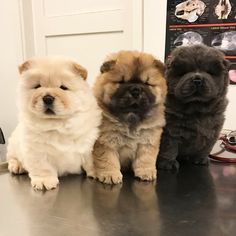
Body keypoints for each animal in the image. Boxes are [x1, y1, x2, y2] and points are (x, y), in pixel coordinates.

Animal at [6, 56, 101, 190]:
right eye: (37, 86)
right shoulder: (36, 151)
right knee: (11, 157)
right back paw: (17, 166)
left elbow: (91, 161)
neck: (57, 124)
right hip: (13, 145)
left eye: (63, 87)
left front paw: (99, 173)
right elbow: (42, 167)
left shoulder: (88, 145)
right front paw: (44, 181)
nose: (48, 98)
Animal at [91, 50, 167, 185]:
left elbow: (146, 158)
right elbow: (108, 159)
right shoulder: (106, 141)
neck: (131, 118)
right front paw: (110, 175)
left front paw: (146, 172)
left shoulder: (148, 140)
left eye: (147, 83)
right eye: (122, 82)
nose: (136, 90)